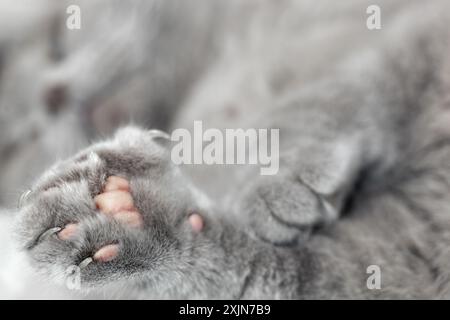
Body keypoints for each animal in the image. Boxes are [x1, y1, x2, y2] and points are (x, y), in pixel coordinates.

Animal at [2, 0, 450, 300]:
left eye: (58, 42)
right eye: (16, 142)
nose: (54, 95)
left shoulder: (389, 31)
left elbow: (327, 93)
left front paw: (274, 184)